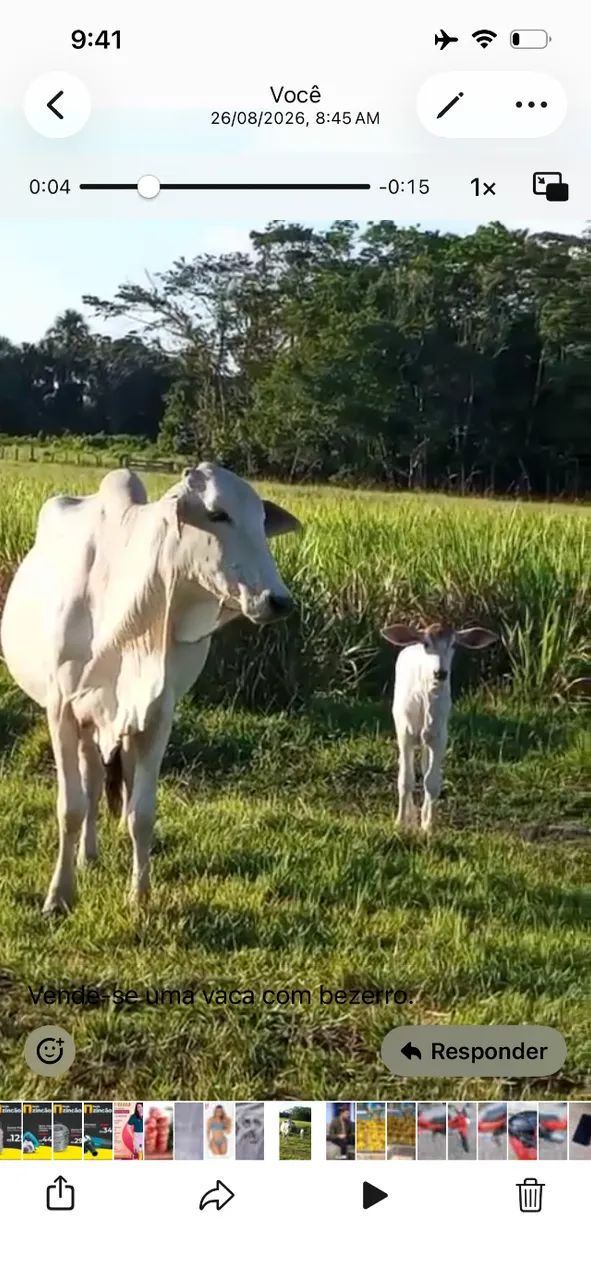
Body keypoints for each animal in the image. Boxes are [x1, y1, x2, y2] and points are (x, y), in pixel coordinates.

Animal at [1, 463, 301, 914]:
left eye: (262, 521)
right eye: (217, 514)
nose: (278, 601)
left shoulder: (156, 713)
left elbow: (140, 813)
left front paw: (139, 895)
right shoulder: (61, 709)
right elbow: (70, 808)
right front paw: (59, 896)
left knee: (101, 782)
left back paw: (91, 855)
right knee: (89, 783)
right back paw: (86, 857)